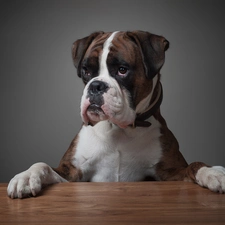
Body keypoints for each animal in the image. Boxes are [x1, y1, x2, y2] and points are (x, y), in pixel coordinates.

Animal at [7, 30, 225, 199]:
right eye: (86, 71)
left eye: (122, 70)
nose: (95, 85)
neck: (119, 130)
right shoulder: (71, 173)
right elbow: (43, 164)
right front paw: (25, 177)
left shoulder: (170, 172)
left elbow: (194, 165)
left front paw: (213, 172)